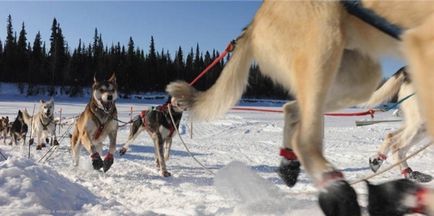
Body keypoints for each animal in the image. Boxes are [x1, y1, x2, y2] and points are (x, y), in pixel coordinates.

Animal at [167, 0, 434, 215]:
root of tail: (254, 21)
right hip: (323, 44)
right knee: (307, 138)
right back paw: (337, 190)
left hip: (360, 77)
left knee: (293, 108)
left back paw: (289, 164)